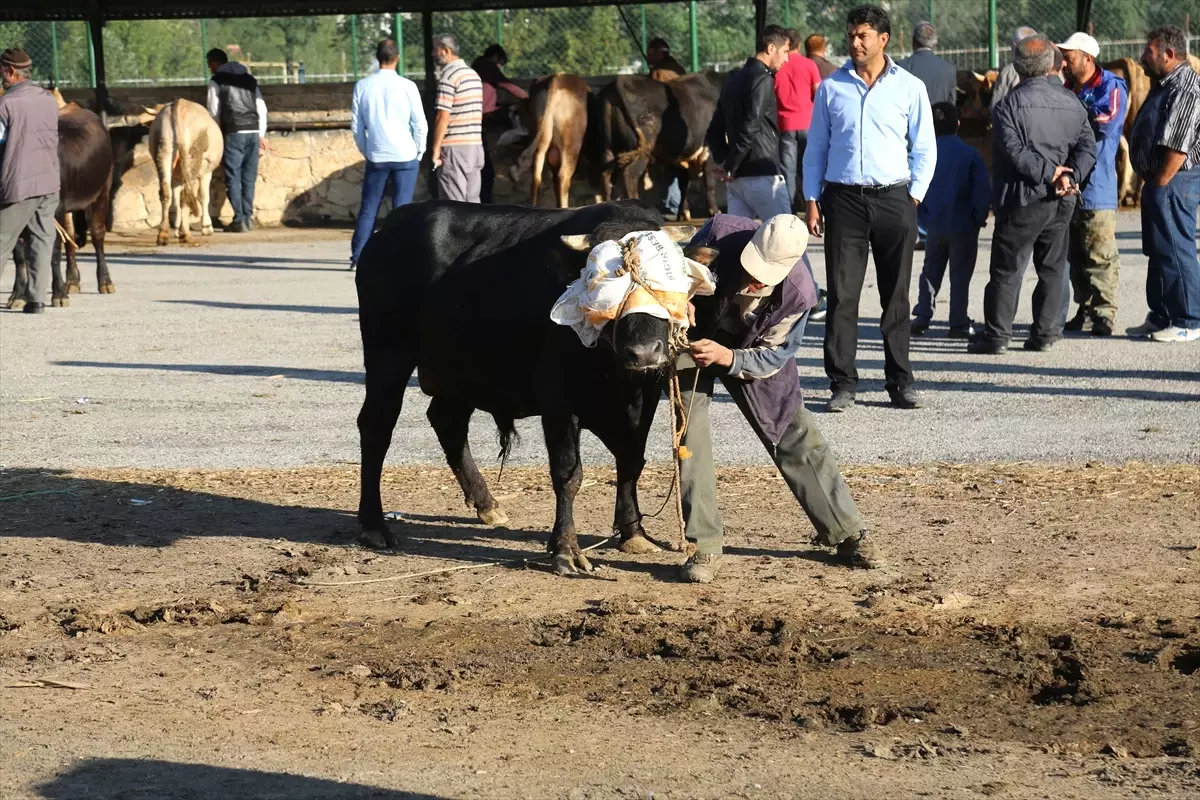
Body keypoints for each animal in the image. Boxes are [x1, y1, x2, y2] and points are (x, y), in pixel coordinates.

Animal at [141, 100, 224, 244]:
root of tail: (179, 105)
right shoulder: (206, 172)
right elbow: (203, 197)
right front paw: (207, 227)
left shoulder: (176, 176)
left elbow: (176, 200)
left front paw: (176, 228)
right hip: (192, 157)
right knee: (186, 195)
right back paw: (185, 234)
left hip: (164, 151)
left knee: (166, 193)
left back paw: (163, 235)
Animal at [350, 201, 700, 575]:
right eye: (602, 285)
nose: (644, 352)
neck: (613, 371)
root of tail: (393, 225)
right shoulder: (558, 399)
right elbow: (568, 473)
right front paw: (565, 548)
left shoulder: (645, 396)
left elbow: (632, 460)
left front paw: (633, 531)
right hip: (388, 356)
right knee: (376, 427)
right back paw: (374, 525)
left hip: (461, 371)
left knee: (448, 422)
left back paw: (486, 503)